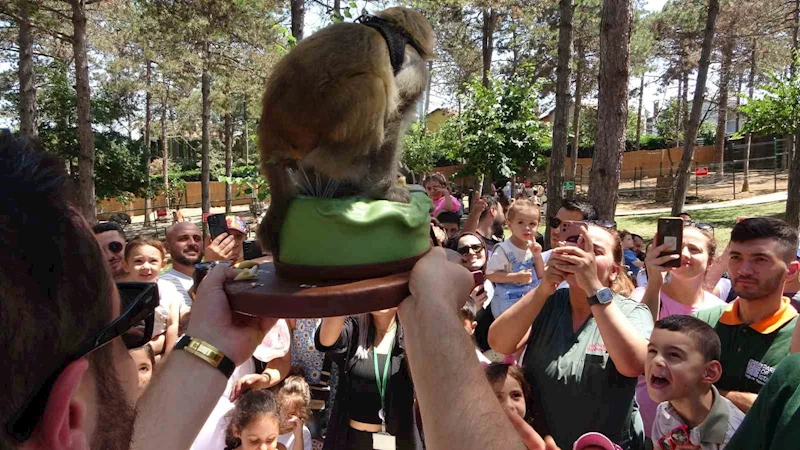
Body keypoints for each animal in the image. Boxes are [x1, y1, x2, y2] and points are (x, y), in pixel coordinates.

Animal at [256, 6, 434, 256]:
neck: (396, 29)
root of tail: (268, 130)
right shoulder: (416, 67)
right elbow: (395, 118)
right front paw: (384, 192)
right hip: (317, 114)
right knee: (375, 86)